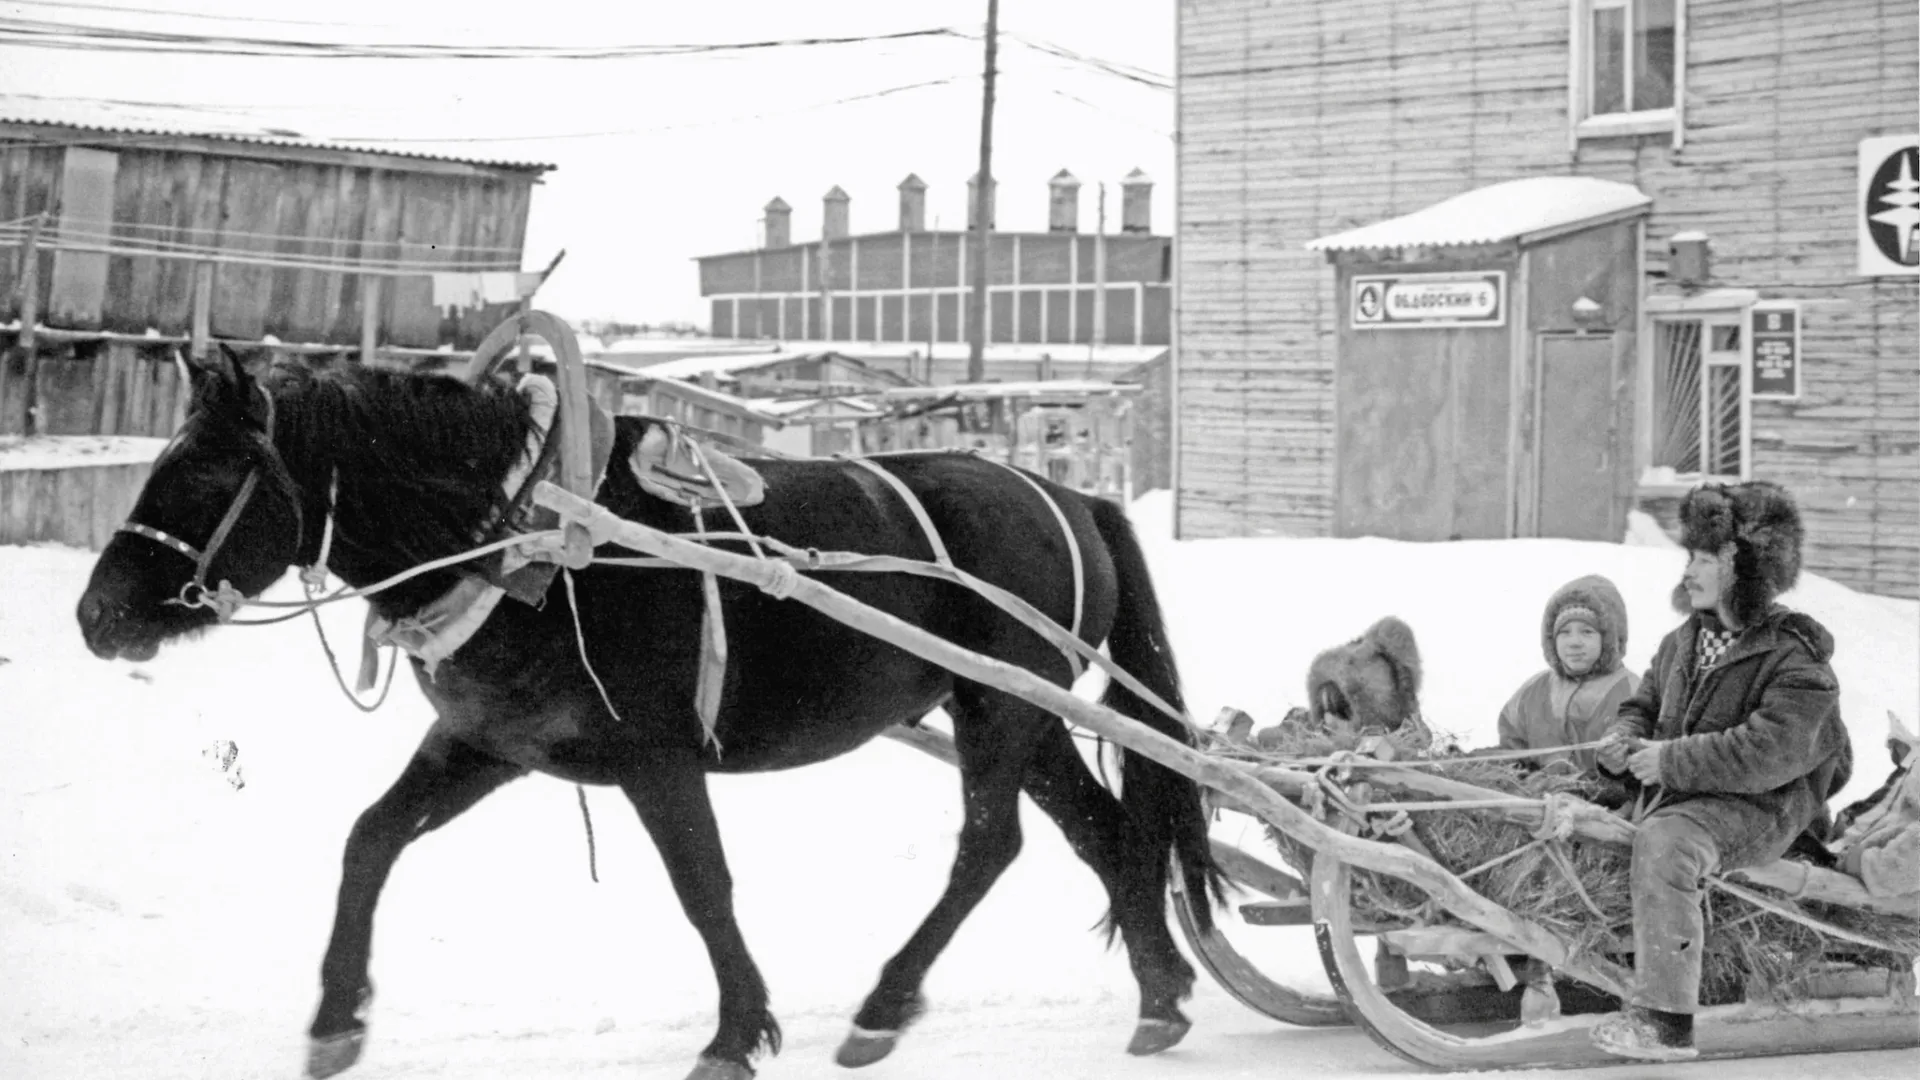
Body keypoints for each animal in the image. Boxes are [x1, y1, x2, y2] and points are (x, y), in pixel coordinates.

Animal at [74, 349, 1221, 1068]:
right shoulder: (485, 741)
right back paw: (1162, 997)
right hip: (1023, 713)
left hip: (998, 708)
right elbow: (370, 841)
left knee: (991, 844)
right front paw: (334, 1021)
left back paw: (885, 1006)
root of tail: (1069, 495)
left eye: (204, 473)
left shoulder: (658, 760)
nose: (96, 616)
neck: (528, 538)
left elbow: (704, 888)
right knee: (1105, 833)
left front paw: (736, 1033)